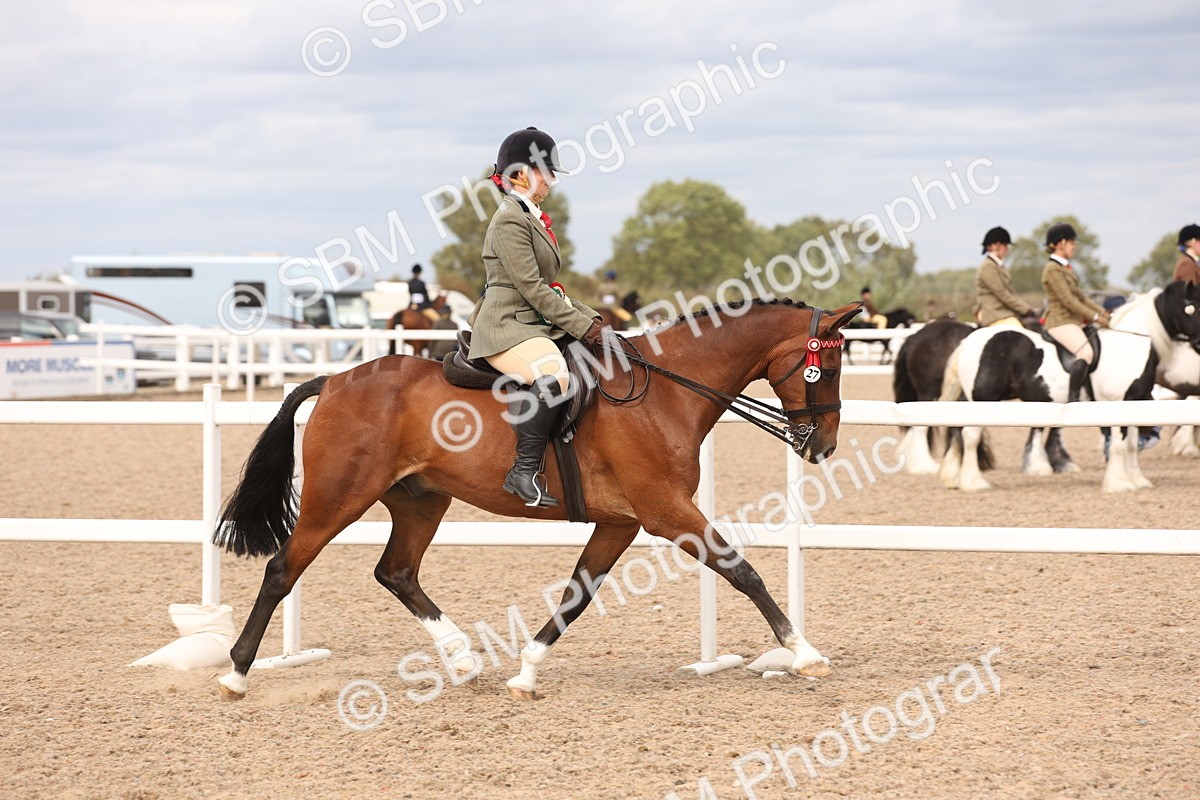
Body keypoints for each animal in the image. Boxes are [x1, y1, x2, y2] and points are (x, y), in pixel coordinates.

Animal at [212, 299, 864, 701]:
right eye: (828, 367)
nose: (824, 446)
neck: (667, 391)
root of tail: (336, 380)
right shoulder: (666, 513)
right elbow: (742, 571)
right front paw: (804, 652)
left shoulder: (621, 524)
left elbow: (577, 595)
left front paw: (526, 672)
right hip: (337, 499)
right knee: (283, 569)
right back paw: (237, 674)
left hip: (420, 501)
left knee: (396, 572)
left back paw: (464, 660)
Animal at [937, 281, 1200, 492]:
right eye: (1192, 308)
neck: (1130, 341)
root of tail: (970, 339)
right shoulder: (1115, 403)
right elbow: (1118, 445)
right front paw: (1119, 484)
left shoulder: (1135, 403)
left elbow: (1132, 446)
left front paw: (1137, 481)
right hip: (984, 400)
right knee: (970, 436)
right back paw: (974, 483)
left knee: (959, 433)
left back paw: (954, 478)